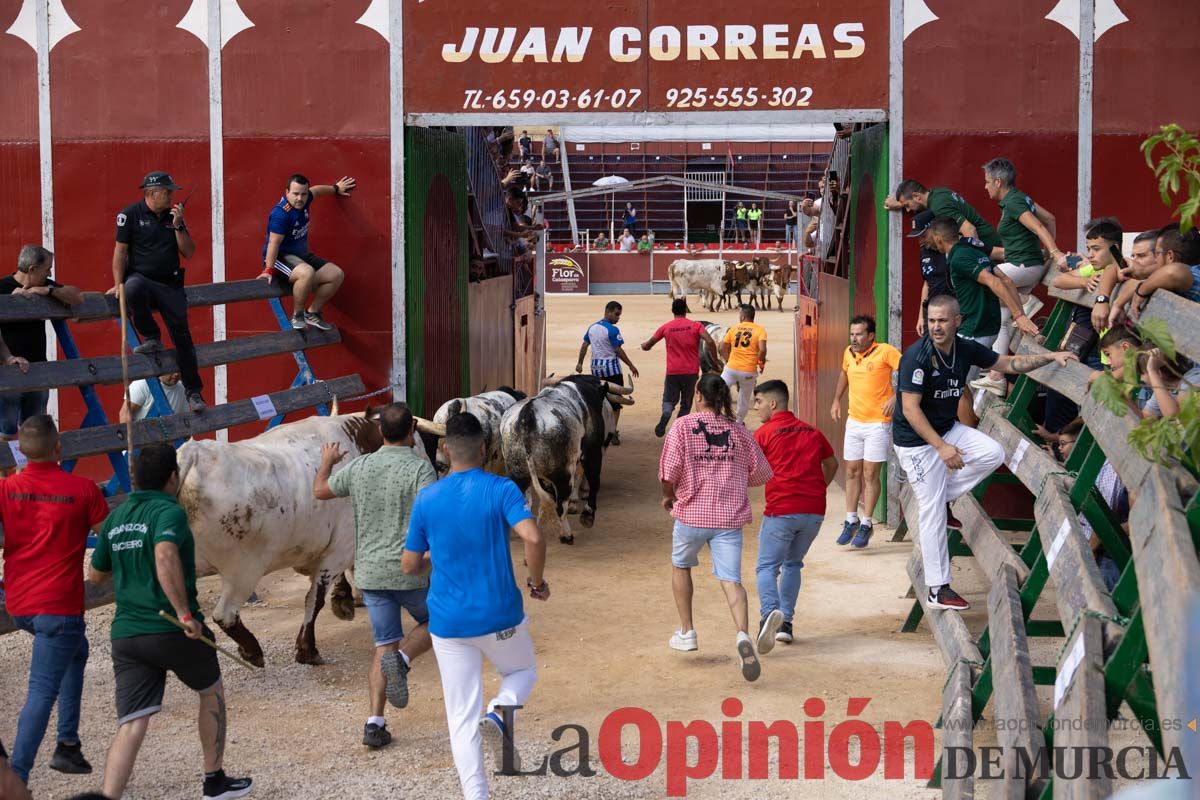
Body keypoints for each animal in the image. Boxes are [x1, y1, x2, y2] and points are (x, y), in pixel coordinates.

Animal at [175, 410, 439, 666]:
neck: (359, 443)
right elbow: (315, 598)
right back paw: (252, 651)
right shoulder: (341, 548)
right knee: (225, 615)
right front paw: (308, 649)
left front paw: (343, 598)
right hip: (244, 571)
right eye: (417, 446)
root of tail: (192, 453)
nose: (433, 477)